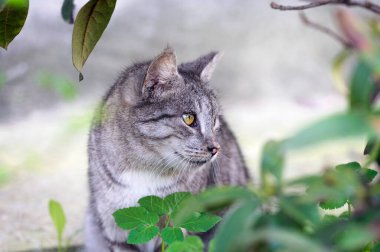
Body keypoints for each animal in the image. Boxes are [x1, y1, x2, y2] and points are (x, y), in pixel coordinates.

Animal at [86, 47, 251, 252]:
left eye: (214, 121)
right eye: (189, 118)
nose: (216, 148)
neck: (143, 169)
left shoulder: (176, 225)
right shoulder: (115, 230)